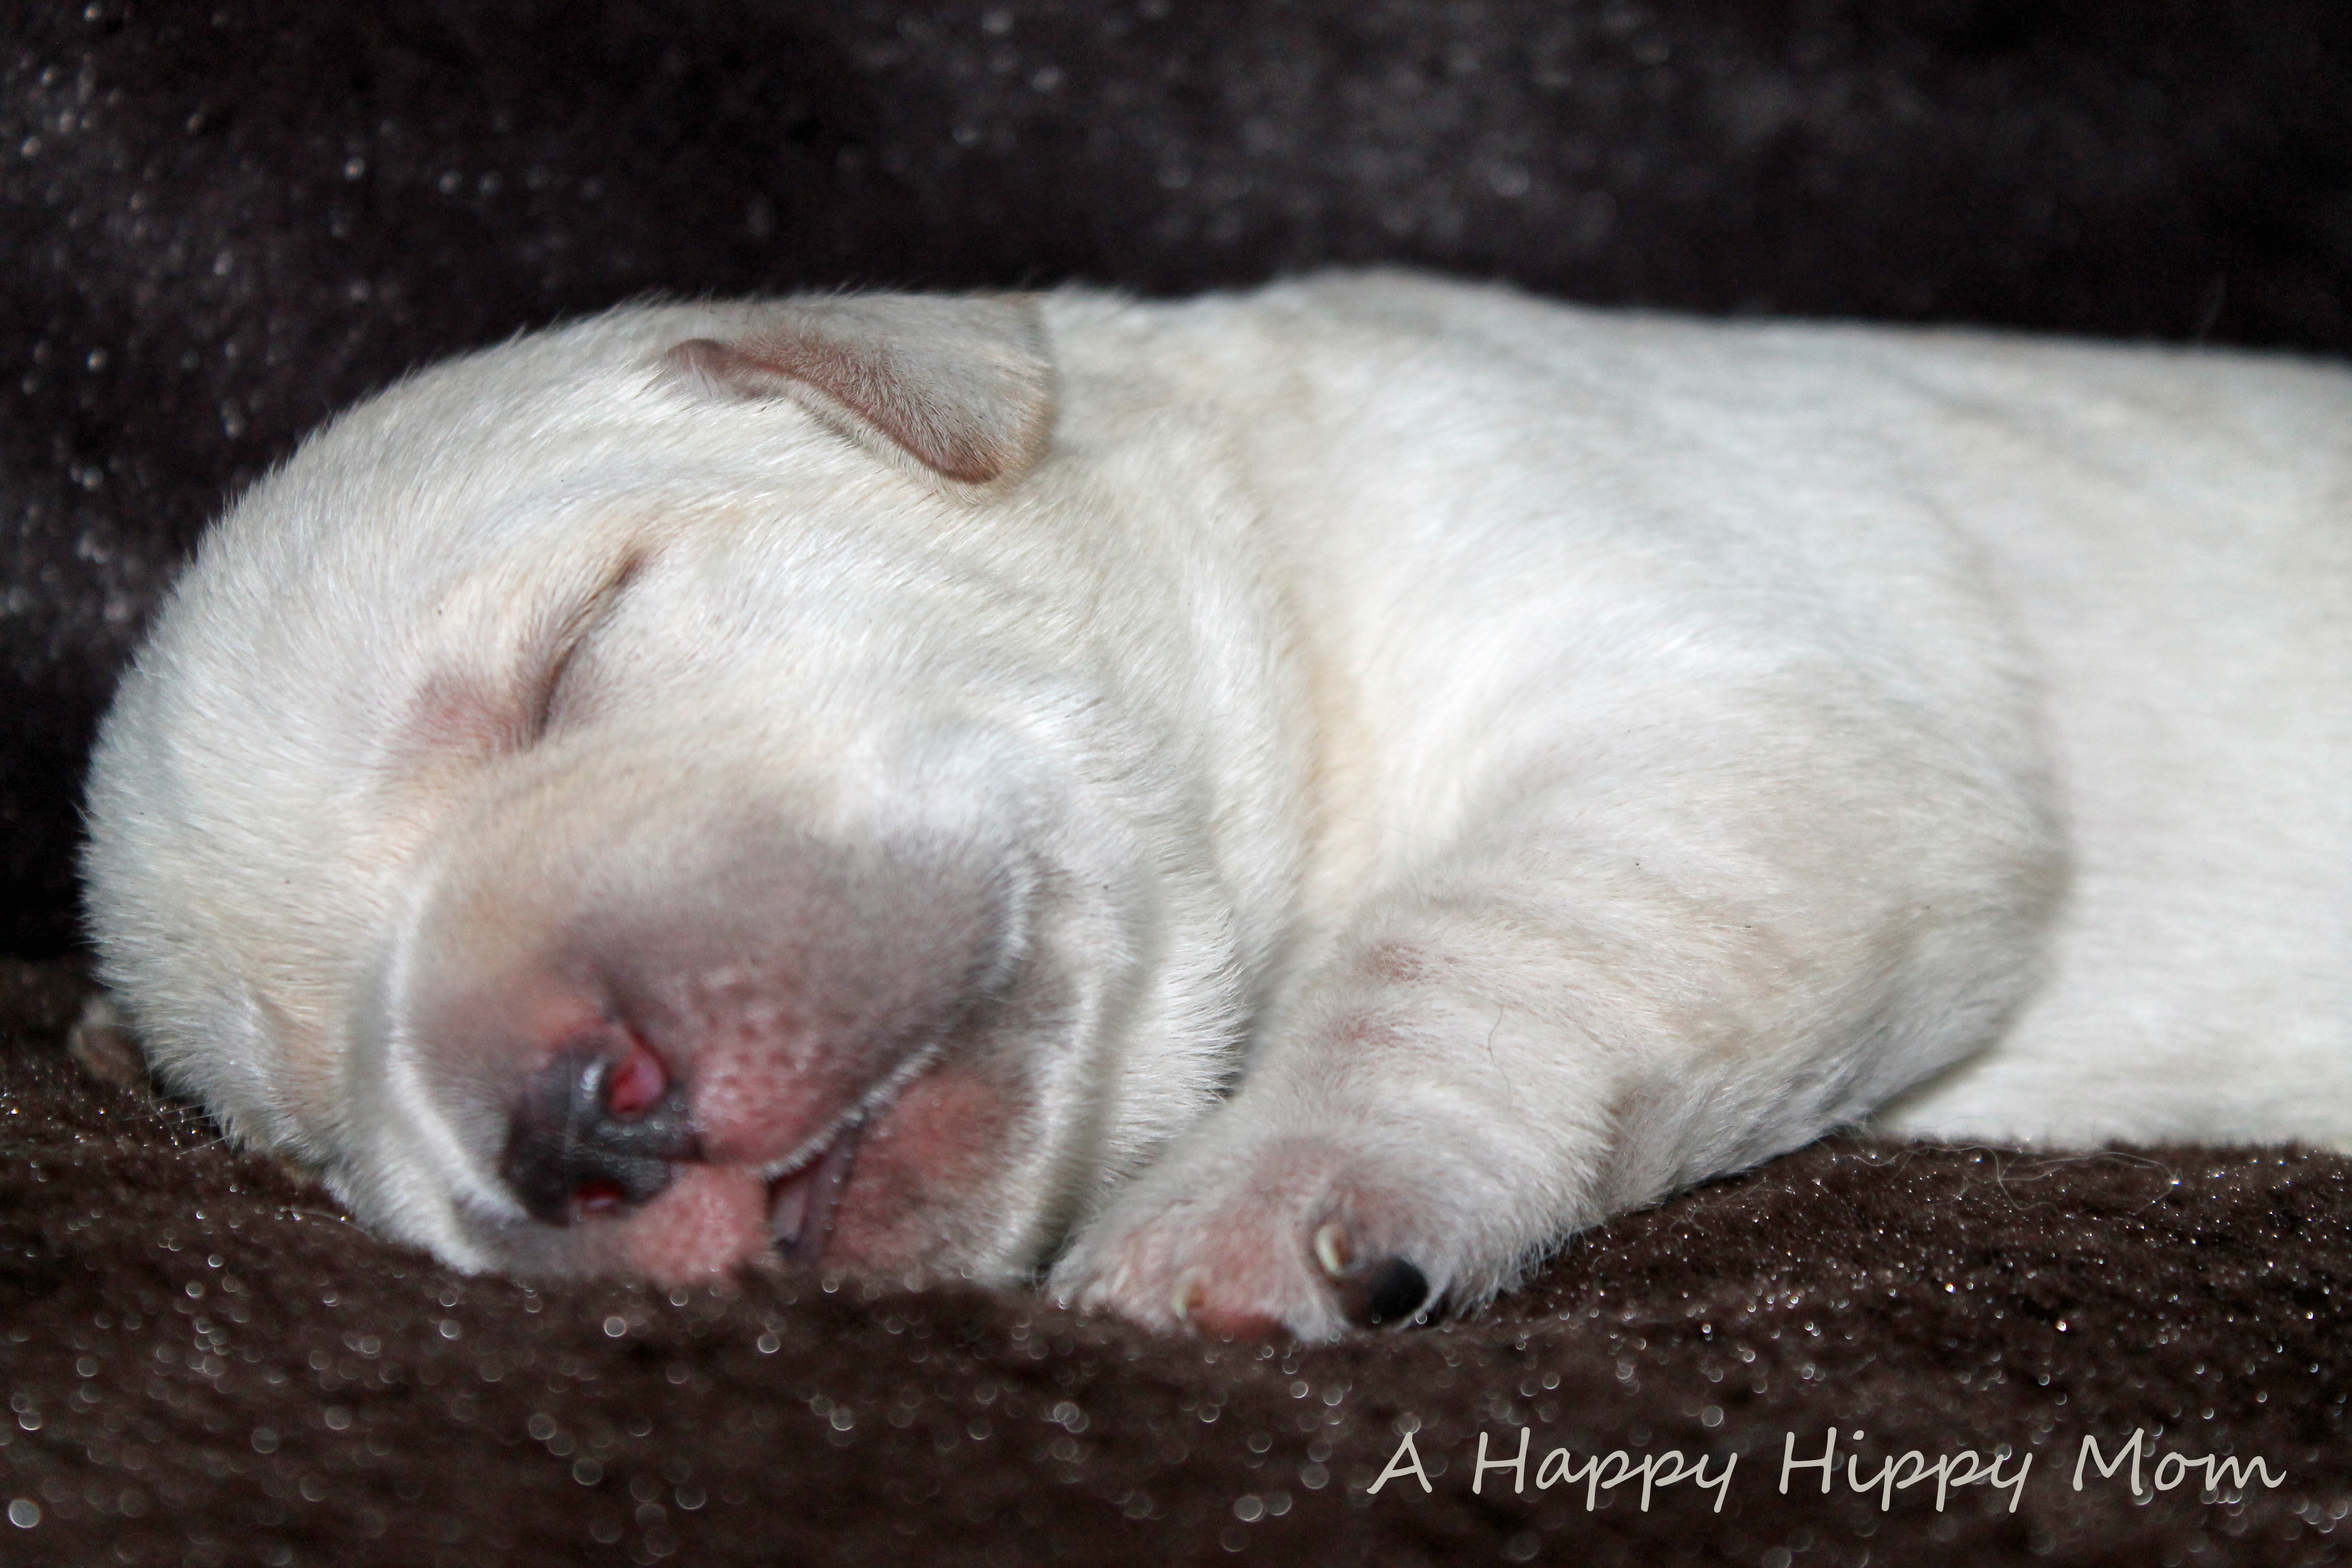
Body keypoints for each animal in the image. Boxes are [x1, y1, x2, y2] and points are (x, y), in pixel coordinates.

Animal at [83, 273, 2342, 1335]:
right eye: (307, 1122)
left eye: (574, 652)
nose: (566, 1123)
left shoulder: (1746, 696)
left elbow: (1476, 939)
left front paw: (1255, 1201)